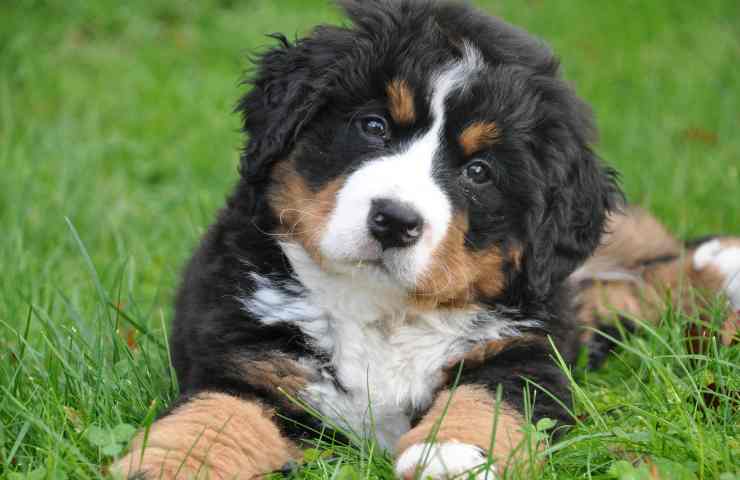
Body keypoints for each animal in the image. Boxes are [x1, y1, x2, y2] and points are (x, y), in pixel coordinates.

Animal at [112, 0, 736, 480]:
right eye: (373, 126)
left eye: (479, 171)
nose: (393, 220)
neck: (382, 311)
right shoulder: (247, 356)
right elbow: (214, 419)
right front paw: (170, 464)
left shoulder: (527, 353)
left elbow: (483, 400)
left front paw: (449, 454)